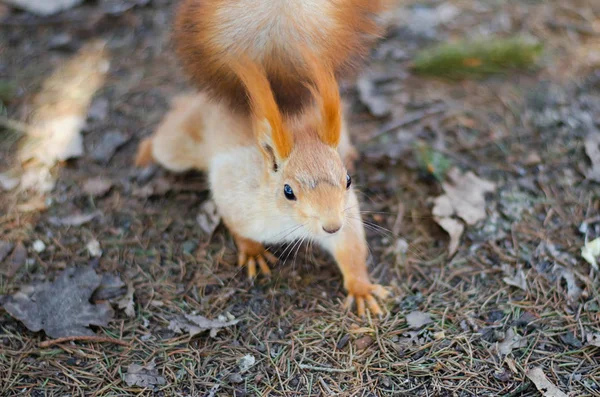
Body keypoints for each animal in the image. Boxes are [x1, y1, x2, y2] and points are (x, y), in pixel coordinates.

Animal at [135, 0, 390, 316]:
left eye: (348, 180)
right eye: (288, 191)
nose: (331, 226)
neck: (288, 223)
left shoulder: (347, 214)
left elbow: (351, 247)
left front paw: (361, 287)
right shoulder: (234, 193)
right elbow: (236, 226)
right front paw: (252, 252)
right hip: (177, 145)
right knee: (167, 132)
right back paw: (145, 151)